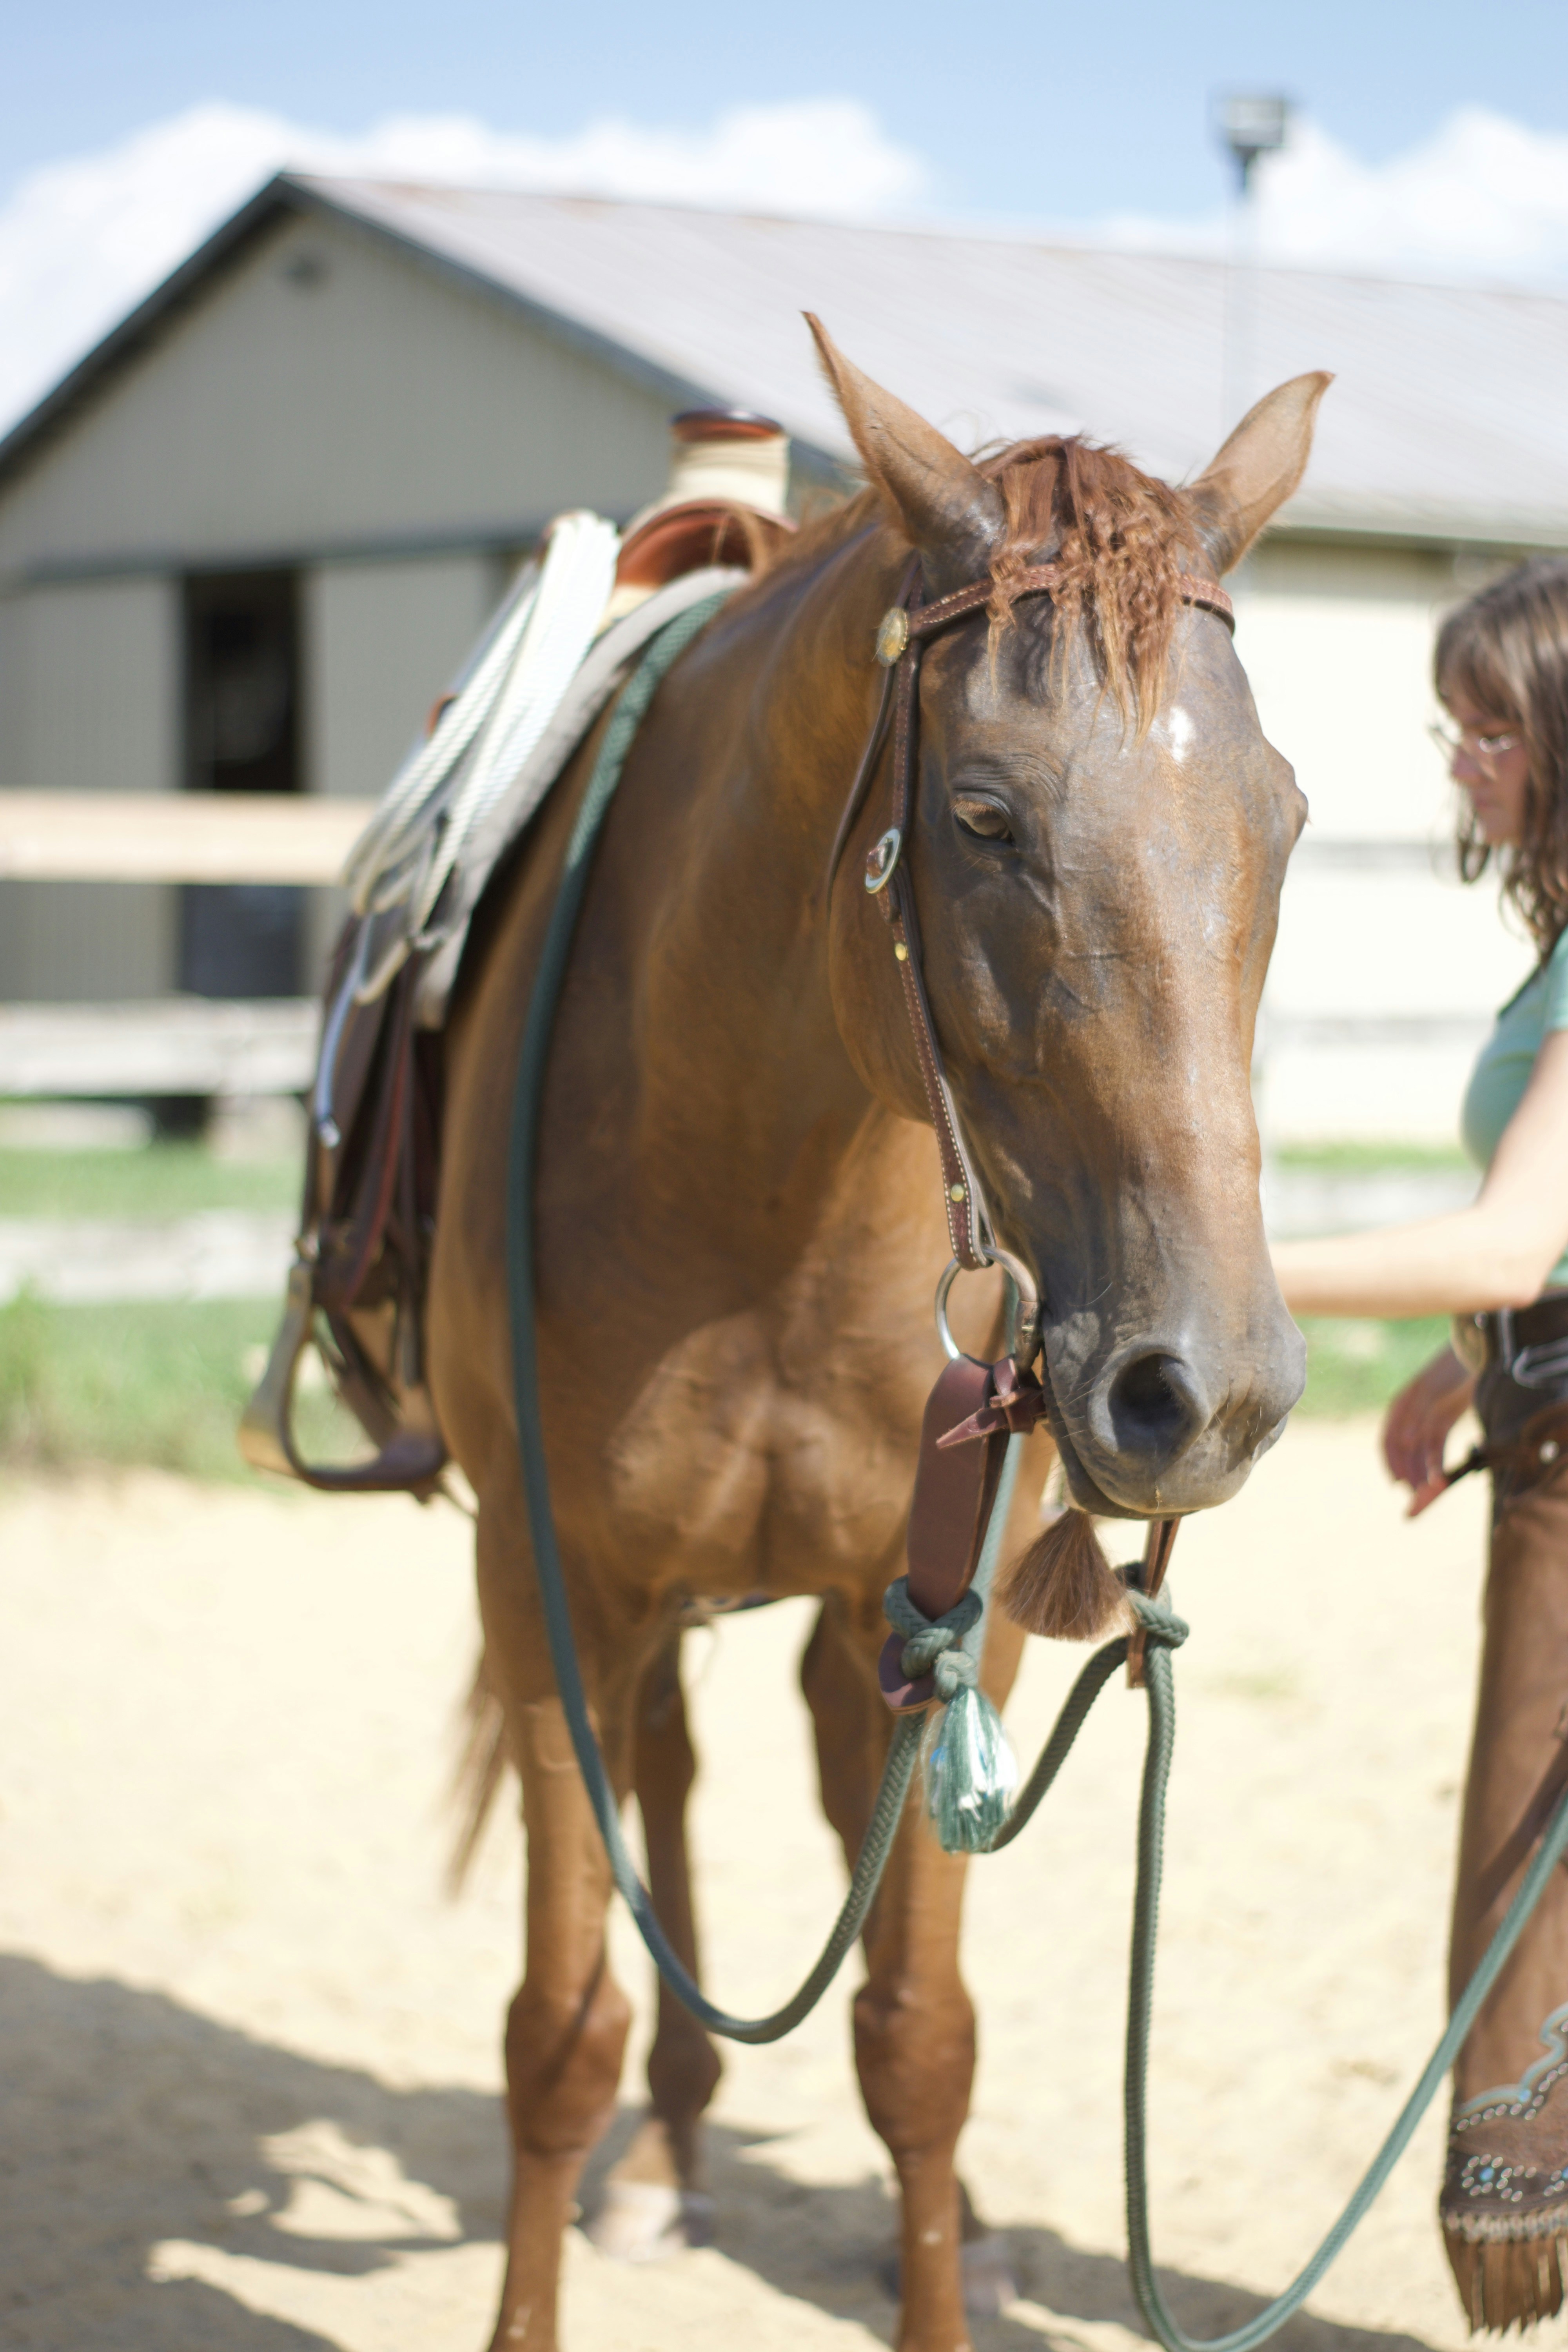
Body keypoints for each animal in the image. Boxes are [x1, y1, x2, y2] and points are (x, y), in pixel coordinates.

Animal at [427, 322, 1328, 2352]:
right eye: (984, 816)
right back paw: (668, 2158)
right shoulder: (550, 1593)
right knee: (670, 1794)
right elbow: (553, 2033)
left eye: (1284, 818)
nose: (1206, 1393)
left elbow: (919, 2039)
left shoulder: (945, 1603)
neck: (760, 1177)